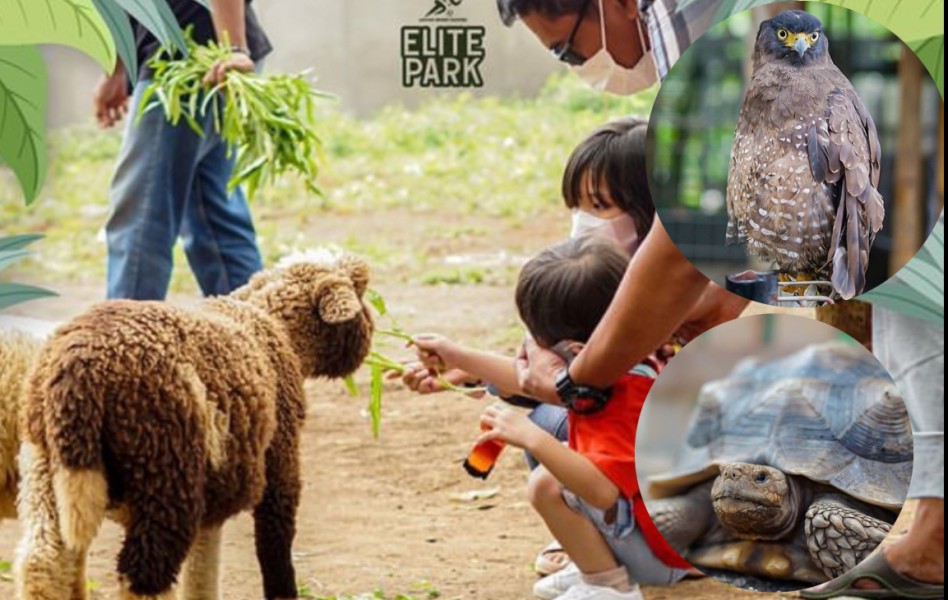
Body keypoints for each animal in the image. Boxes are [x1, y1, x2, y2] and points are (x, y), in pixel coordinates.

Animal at [15, 255, 374, 600]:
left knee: (42, 561)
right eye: (359, 291)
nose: (372, 327)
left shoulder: (216, 493)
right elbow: (274, 549)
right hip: (166, 474)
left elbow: (203, 566)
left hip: (42, 467)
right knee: (145, 577)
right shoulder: (280, 464)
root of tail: (77, 366)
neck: (276, 328)